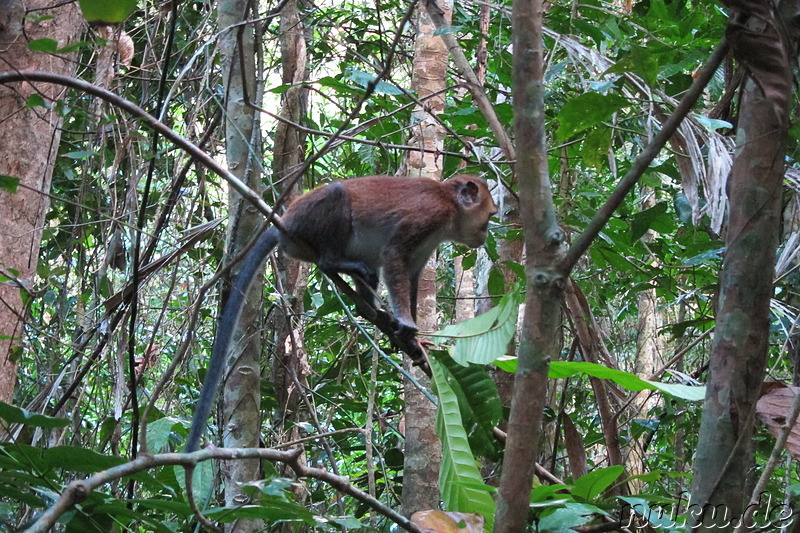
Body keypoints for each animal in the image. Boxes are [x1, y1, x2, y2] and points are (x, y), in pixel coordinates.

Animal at [188, 174, 496, 448]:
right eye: (490, 215)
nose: (485, 233)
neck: (449, 205)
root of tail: (283, 224)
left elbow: (410, 277)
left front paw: (413, 342)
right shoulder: (429, 215)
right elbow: (394, 256)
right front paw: (407, 325)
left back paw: (370, 309)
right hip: (307, 225)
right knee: (336, 197)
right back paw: (334, 263)